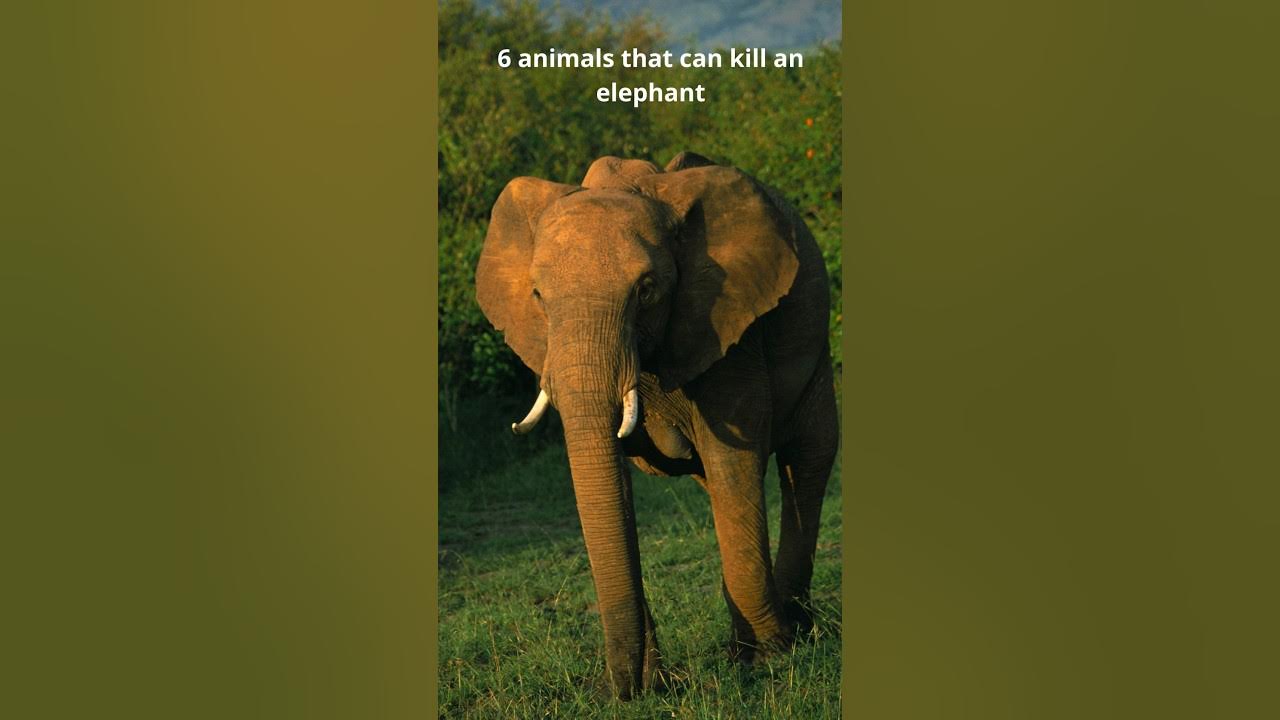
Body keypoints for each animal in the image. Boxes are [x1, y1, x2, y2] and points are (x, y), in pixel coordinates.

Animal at [474, 152, 838, 699]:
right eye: (537, 295)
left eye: (646, 291)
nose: (620, 691)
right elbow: (613, 483)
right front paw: (654, 681)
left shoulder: (729, 325)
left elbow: (735, 462)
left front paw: (769, 660)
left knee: (807, 461)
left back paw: (794, 630)